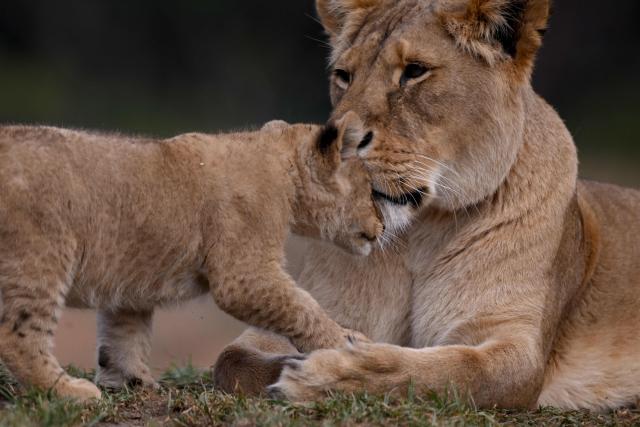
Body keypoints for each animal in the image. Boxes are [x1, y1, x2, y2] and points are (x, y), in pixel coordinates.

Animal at [0, 113, 383, 401]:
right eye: (371, 190)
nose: (381, 224)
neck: (282, 167)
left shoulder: (130, 285)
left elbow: (124, 336)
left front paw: (133, 383)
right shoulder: (243, 276)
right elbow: (304, 307)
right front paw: (346, 343)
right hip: (41, 256)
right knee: (19, 335)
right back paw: (69, 391)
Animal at [213, 0, 640, 411]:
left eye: (414, 71)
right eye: (344, 75)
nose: (336, 143)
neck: (419, 232)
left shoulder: (517, 347)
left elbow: (449, 370)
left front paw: (331, 373)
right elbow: (232, 361)